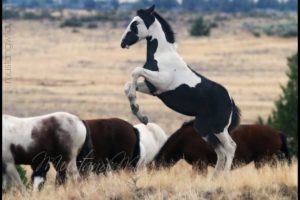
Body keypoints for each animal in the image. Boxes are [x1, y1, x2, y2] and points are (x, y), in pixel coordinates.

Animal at [120, 4, 240, 177]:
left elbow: (136, 71)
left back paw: (224, 177)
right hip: (204, 128)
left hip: (219, 128)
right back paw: (215, 178)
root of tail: (230, 101)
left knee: (230, 147)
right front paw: (141, 115)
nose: (123, 42)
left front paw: (140, 114)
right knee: (221, 152)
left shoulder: (161, 81)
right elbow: (128, 86)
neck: (162, 56)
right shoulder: (152, 88)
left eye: (135, 23)